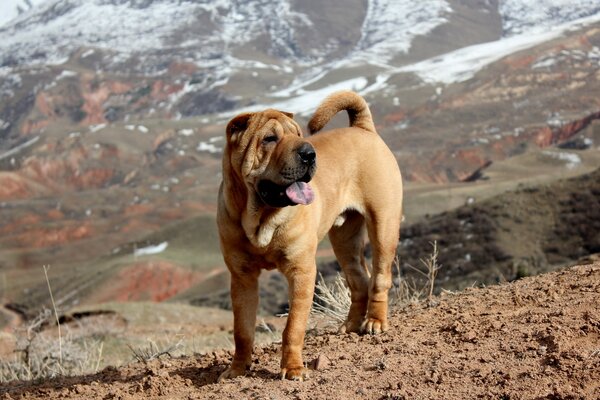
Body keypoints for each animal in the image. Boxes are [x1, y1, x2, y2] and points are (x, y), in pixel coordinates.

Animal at [217, 90, 404, 382]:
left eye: (298, 134)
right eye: (269, 138)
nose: (309, 153)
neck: (261, 218)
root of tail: (363, 129)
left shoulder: (301, 271)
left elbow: (293, 326)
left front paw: (293, 369)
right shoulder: (242, 278)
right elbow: (242, 330)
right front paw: (236, 369)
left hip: (383, 225)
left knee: (380, 277)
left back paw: (375, 321)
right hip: (345, 240)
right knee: (359, 280)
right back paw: (350, 325)